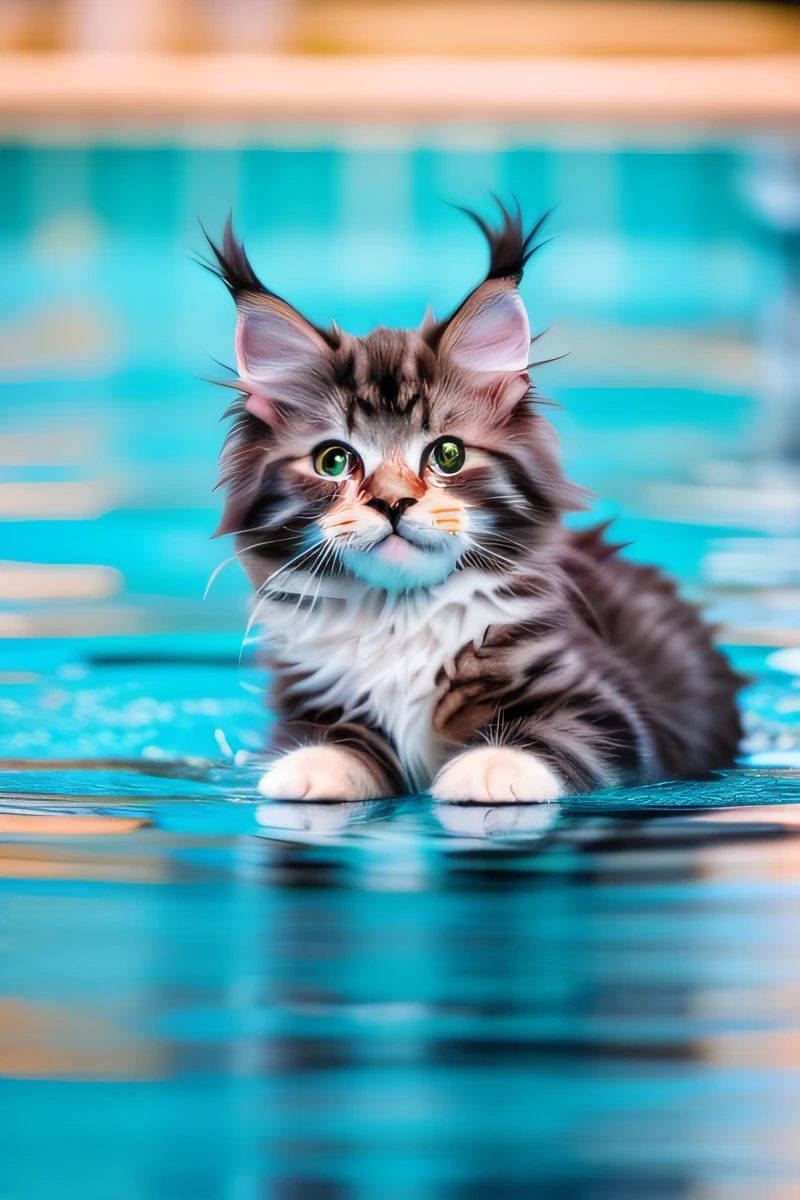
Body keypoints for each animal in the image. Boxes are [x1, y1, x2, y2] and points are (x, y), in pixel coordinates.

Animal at [208, 204, 743, 806]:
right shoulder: (315, 698)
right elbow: (341, 739)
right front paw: (313, 765)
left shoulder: (610, 707)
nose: (392, 503)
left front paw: (492, 768)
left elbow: (560, 733)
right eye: (334, 461)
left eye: (448, 454)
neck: (400, 619)